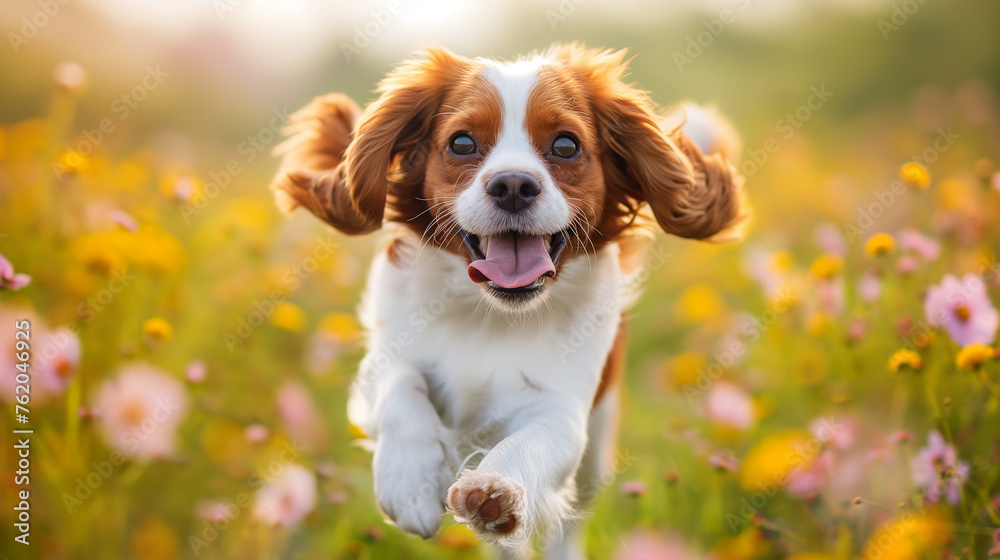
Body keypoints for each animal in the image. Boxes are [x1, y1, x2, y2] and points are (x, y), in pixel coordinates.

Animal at [270, 41, 748, 556]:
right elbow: (401, 386)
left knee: (565, 524)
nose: (514, 185)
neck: (492, 313)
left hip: (596, 454)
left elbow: (533, 442)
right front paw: (410, 481)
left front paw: (496, 491)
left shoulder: (564, 408)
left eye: (566, 145)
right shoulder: (383, 357)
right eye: (461, 143)